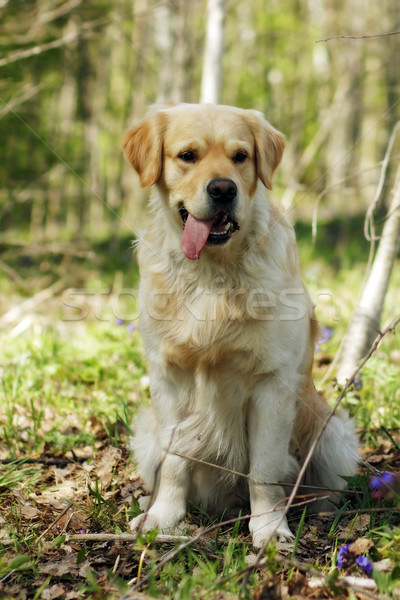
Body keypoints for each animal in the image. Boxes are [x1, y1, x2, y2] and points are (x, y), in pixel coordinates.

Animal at [122, 104, 360, 548]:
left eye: (240, 156)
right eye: (188, 156)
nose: (223, 190)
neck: (213, 272)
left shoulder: (272, 383)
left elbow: (264, 470)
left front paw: (270, 530)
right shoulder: (168, 378)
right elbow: (175, 461)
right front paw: (164, 519)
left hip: (333, 431)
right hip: (146, 430)